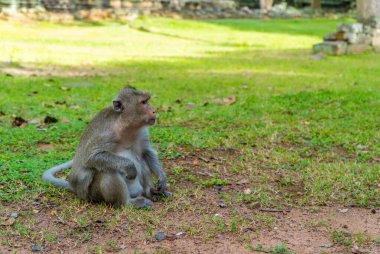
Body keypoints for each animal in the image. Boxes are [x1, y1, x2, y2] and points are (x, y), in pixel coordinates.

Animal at [42, 86, 171, 207]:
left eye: (146, 101)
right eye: (143, 102)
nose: (154, 111)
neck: (126, 127)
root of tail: (75, 188)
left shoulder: (142, 132)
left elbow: (146, 152)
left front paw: (162, 177)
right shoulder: (106, 134)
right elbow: (91, 157)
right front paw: (130, 167)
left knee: (141, 159)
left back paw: (151, 193)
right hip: (93, 193)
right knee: (108, 170)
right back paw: (129, 202)